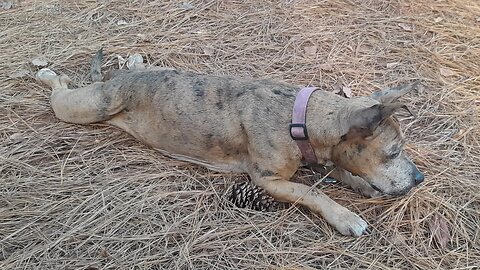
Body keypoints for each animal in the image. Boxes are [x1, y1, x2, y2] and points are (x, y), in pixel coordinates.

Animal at [37, 49, 426, 236]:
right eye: (393, 152)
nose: (420, 178)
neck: (301, 118)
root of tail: (117, 79)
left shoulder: (316, 156)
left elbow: (338, 170)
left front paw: (359, 183)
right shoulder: (268, 181)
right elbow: (313, 192)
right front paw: (345, 216)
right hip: (85, 107)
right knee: (60, 90)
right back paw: (48, 74)